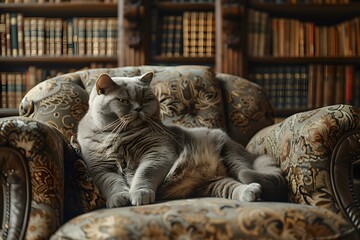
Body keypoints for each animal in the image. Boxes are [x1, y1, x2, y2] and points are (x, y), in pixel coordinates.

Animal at [77, 71, 288, 208]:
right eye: (123, 101)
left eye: (146, 99)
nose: (138, 108)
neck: (119, 136)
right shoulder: (100, 167)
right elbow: (111, 183)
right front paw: (118, 199)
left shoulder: (158, 153)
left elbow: (144, 174)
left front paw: (140, 193)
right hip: (211, 185)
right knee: (232, 187)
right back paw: (251, 193)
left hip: (232, 156)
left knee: (246, 174)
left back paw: (253, 189)